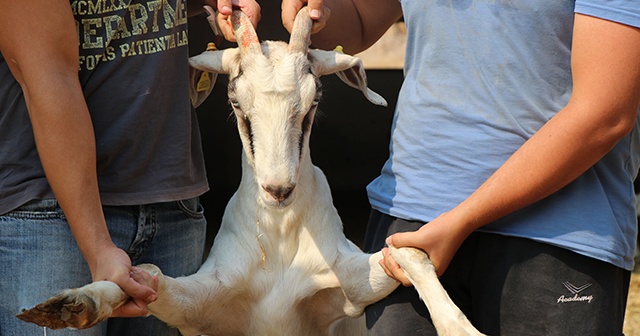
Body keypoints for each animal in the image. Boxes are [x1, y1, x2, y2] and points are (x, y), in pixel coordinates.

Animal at [17, 7, 482, 336]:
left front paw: (461, 328)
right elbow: (147, 274)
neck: (278, 241)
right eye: (237, 101)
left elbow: (409, 253)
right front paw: (73, 304)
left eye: (313, 102)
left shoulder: (346, 293)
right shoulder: (204, 307)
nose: (278, 189)